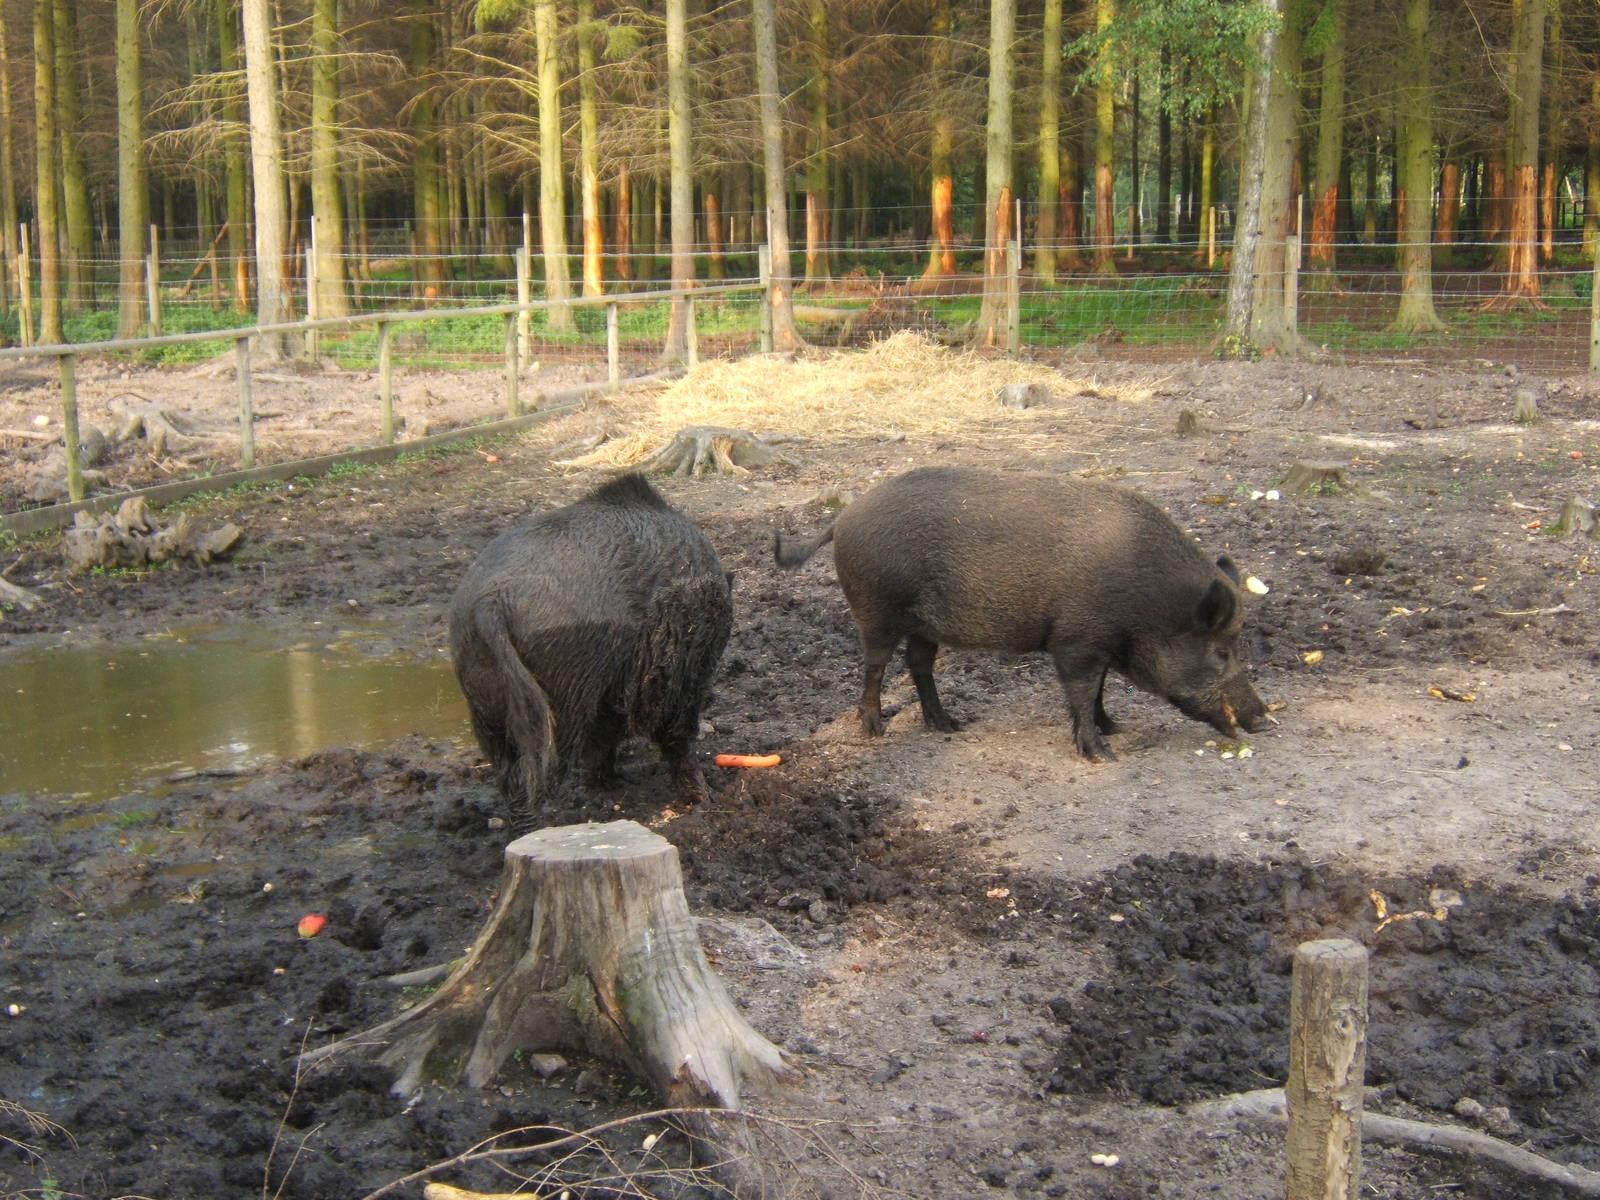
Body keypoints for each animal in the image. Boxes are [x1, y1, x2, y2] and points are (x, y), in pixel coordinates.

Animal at [448, 473, 732, 832]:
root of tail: (491, 601)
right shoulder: (679, 672)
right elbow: (674, 732)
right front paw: (702, 799)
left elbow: (602, 736)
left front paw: (609, 787)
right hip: (562, 692)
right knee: (541, 770)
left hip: (484, 697)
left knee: (510, 771)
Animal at [774, 466, 1268, 760]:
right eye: (1222, 651)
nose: (1264, 719)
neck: (1149, 601)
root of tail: (843, 518)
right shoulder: (1075, 641)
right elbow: (1082, 692)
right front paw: (1103, 754)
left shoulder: (1097, 643)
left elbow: (1098, 691)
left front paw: (1116, 728)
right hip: (876, 609)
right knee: (874, 667)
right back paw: (875, 731)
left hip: (924, 625)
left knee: (919, 665)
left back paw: (949, 726)